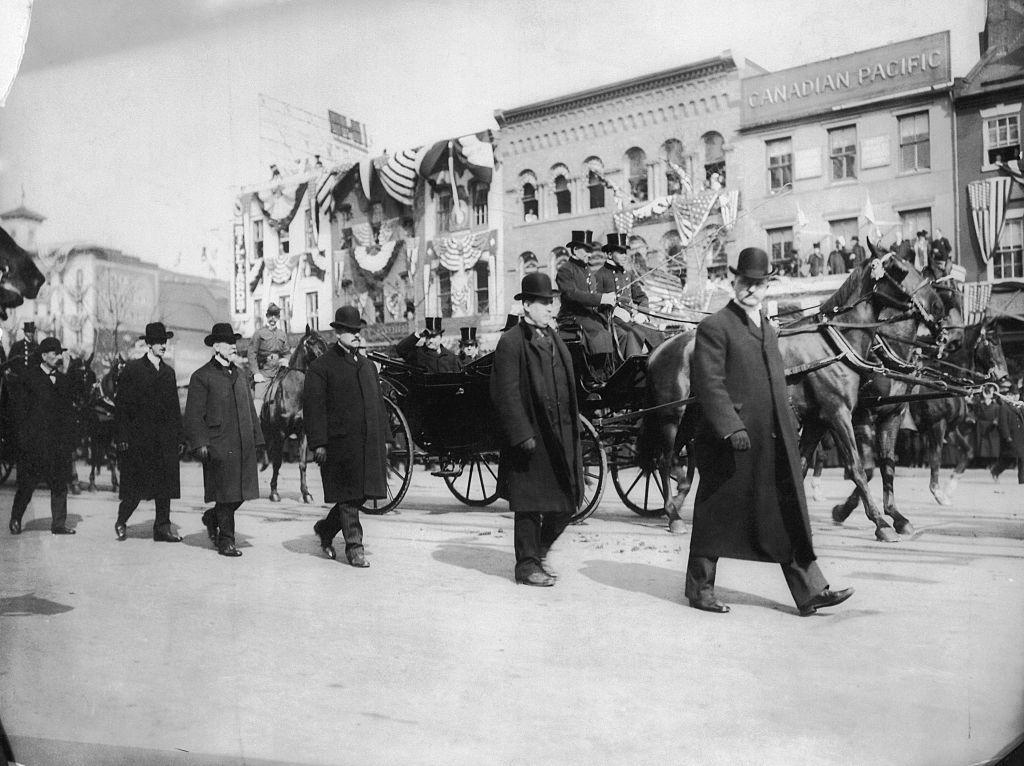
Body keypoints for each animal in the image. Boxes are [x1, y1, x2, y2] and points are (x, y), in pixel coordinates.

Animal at [260, 323, 327, 501]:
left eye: (324, 341)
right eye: (311, 342)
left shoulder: (303, 432)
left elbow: (302, 463)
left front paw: (306, 493)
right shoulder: (281, 433)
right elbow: (277, 463)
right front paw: (274, 492)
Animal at [643, 245, 946, 544]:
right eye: (900, 269)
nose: (937, 306)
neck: (834, 343)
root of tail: (661, 347)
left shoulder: (822, 420)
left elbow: (809, 466)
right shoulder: (840, 414)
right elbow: (858, 467)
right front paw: (880, 521)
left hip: (692, 416)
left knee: (676, 459)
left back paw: (679, 504)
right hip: (671, 415)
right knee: (663, 459)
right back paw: (673, 514)